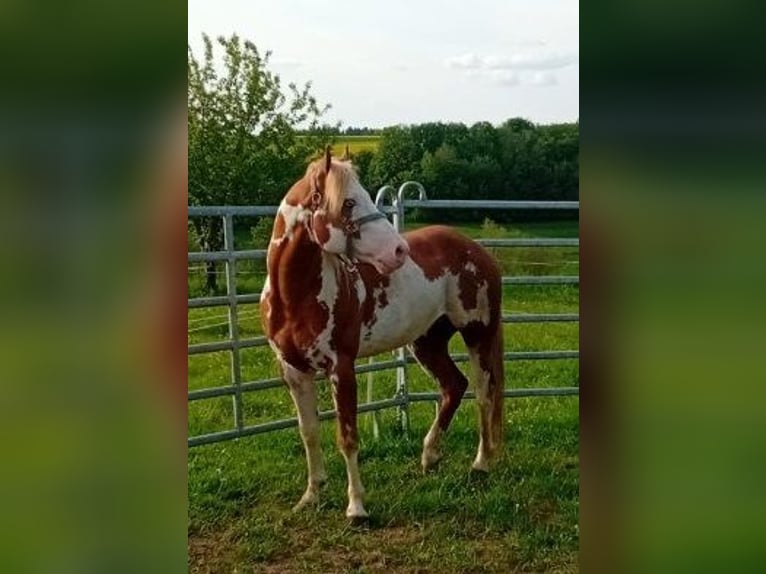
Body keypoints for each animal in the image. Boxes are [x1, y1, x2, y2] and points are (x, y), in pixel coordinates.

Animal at [260, 148, 508, 520]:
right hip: (427, 342)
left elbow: (347, 437)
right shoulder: (293, 371)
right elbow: (309, 433)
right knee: (454, 386)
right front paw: (311, 496)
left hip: (477, 335)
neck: (294, 297)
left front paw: (356, 507)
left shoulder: (341, 368)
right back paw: (429, 456)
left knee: (483, 393)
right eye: (348, 203)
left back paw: (481, 464)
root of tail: (475, 249)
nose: (399, 251)